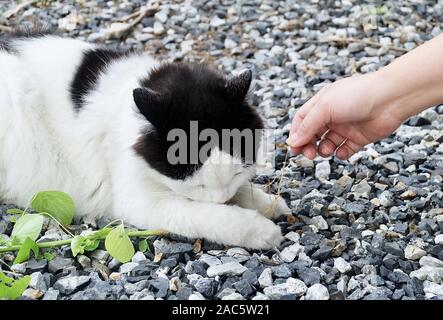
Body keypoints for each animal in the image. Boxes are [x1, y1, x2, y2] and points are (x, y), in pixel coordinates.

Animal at [0, 31, 292, 248]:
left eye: (234, 175)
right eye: (197, 184)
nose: (221, 199)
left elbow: (244, 191)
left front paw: (268, 203)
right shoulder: (140, 201)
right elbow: (211, 216)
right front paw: (261, 230)